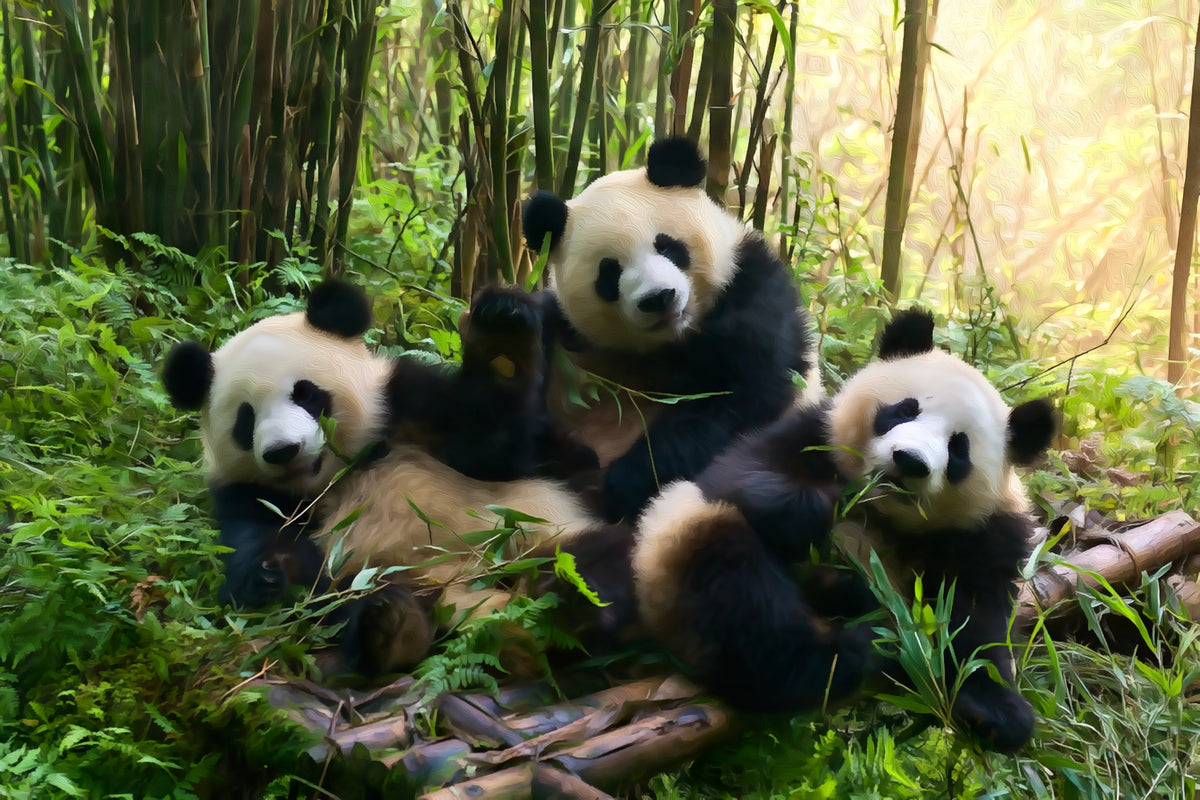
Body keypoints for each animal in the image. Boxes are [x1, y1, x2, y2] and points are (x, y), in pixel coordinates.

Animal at [161, 280, 605, 675]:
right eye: (246, 419)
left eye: (305, 394)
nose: (283, 450)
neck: (338, 475)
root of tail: (459, 587)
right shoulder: (251, 495)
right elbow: (263, 569)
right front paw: (271, 571)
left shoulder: (405, 409)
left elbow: (494, 447)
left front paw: (502, 331)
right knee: (356, 603)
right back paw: (392, 626)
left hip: (537, 536)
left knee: (587, 565)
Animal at [516, 137, 821, 525]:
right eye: (609, 271)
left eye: (667, 246)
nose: (658, 298)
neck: (674, 339)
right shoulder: (573, 333)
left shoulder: (751, 290)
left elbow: (735, 393)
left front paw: (626, 482)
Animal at [628, 308, 1057, 753]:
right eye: (904, 410)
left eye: (959, 448)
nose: (910, 460)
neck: (881, 511)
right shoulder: (809, 433)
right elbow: (744, 478)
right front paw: (825, 511)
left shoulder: (985, 533)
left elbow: (975, 619)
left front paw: (997, 712)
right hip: (677, 551)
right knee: (739, 592)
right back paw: (838, 651)